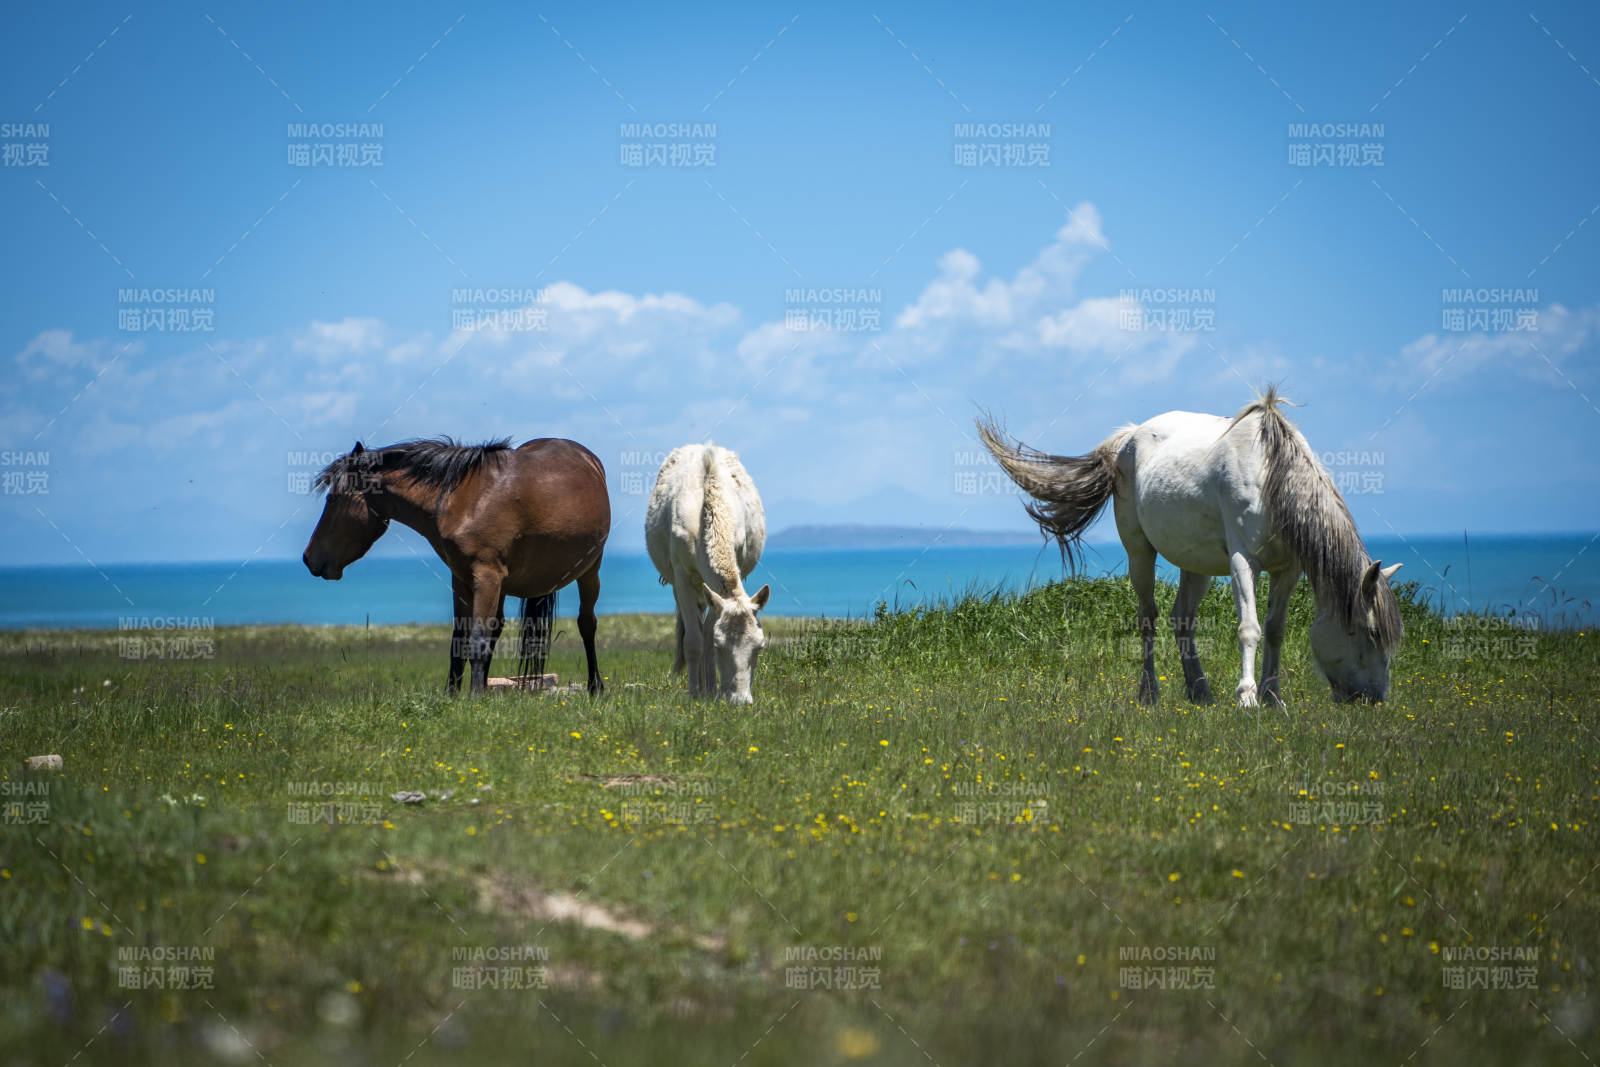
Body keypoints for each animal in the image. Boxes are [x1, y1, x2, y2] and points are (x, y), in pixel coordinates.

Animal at [302, 437, 610, 695]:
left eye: (333, 499)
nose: (308, 558)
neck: (462, 500)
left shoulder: (486, 575)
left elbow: (477, 639)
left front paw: (475, 699)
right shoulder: (461, 578)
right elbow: (459, 640)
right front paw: (453, 696)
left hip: (590, 572)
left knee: (587, 624)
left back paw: (595, 688)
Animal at [645, 444, 770, 703]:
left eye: (759, 647)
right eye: (723, 647)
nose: (741, 701)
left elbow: (708, 634)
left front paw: (713, 690)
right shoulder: (681, 576)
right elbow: (694, 640)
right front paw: (695, 693)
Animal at [978, 388, 1403, 706]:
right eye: (1372, 632)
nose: (1375, 699)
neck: (1272, 476)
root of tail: (1129, 436)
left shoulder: (1289, 568)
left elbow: (1275, 629)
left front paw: (1273, 697)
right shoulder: (1243, 561)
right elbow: (1249, 628)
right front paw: (1247, 697)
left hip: (1195, 564)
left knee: (1182, 618)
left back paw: (1199, 690)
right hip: (1139, 552)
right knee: (1148, 616)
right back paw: (1149, 693)